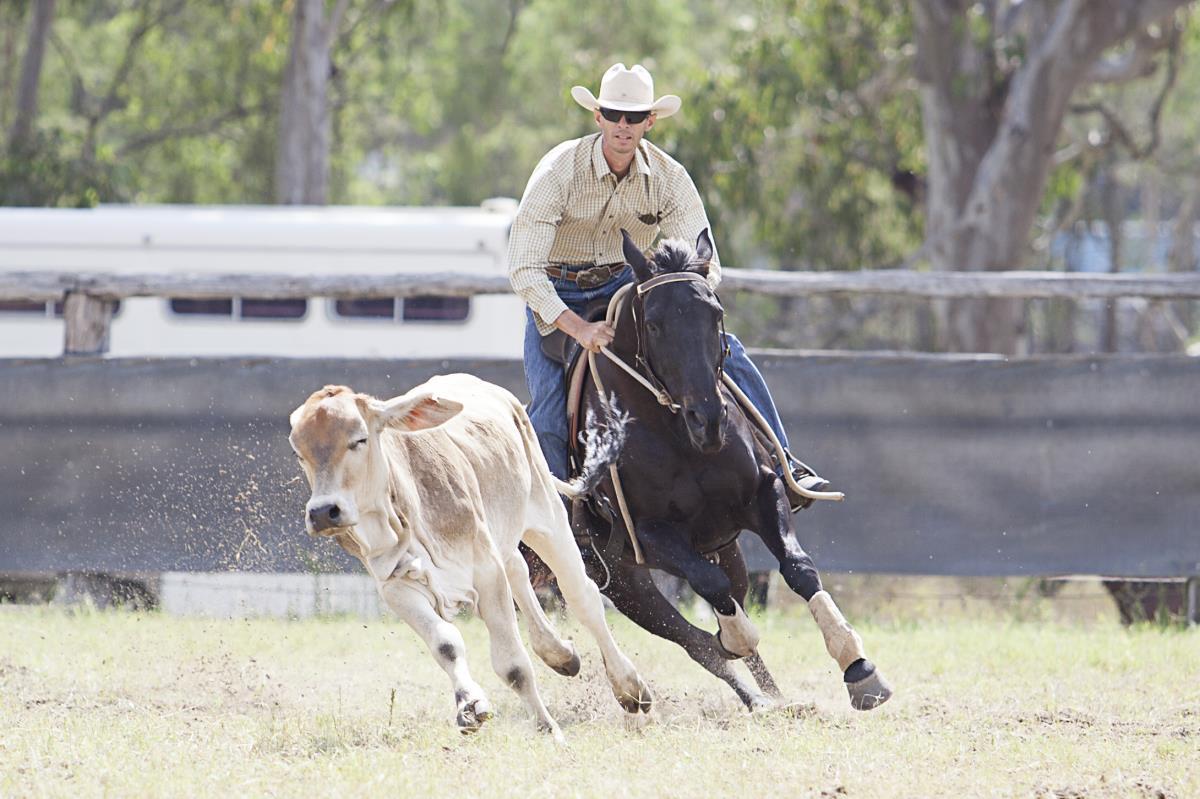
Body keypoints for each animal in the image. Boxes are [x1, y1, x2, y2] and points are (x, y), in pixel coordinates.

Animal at [569, 228, 892, 711]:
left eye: (715, 314)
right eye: (654, 324)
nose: (708, 419)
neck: (677, 436)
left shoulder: (763, 492)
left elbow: (798, 567)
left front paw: (860, 669)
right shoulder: (648, 532)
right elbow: (713, 593)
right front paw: (734, 637)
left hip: (724, 548)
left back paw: (776, 699)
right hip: (625, 585)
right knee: (695, 641)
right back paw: (751, 694)